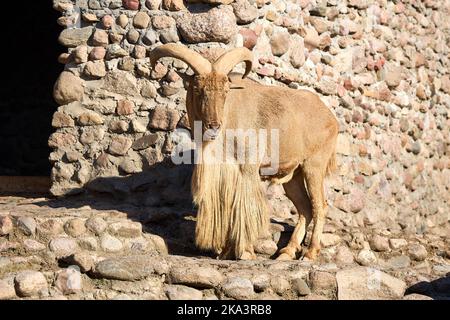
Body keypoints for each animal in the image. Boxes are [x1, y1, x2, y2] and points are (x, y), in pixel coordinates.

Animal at [150, 44, 338, 260]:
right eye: (197, 89)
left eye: (225, 91)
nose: (214, 126)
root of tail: (330, 116)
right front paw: (225, 252)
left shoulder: (247, 168)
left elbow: (244, 206)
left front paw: (245, 252)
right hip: (293, 175)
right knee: (305, 208)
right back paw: (286, 253)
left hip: (314, 166)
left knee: (320, 206)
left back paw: (310, 253)